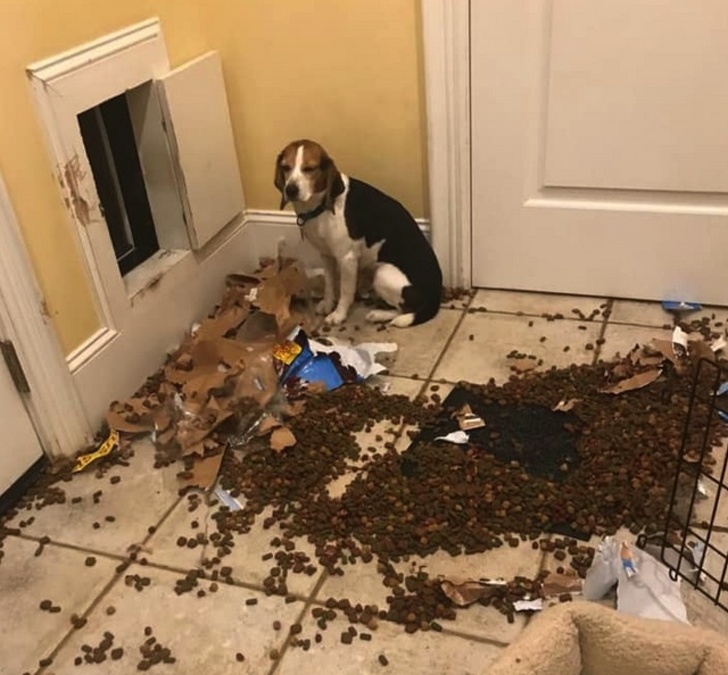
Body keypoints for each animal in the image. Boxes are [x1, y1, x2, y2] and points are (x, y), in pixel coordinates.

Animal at [274, 139, 442, 327]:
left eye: (309, 168)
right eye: (285, 167)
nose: (291, 190)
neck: (321, 207)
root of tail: (435, 296)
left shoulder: (347, 259)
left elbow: (346, 291)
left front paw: (338, 314)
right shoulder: (327, 255)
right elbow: (329, 283)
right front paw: (327, 303)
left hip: (382, 274)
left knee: (403, 310)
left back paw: (378, 314)